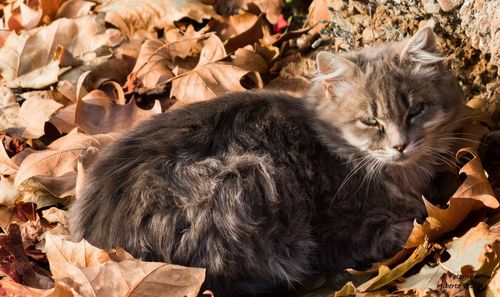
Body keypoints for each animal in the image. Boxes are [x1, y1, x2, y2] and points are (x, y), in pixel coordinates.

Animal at [69, 27, 464, 294]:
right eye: (370, 121)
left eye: (416, 110)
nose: (400, 145)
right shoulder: (344, 228)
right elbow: (411, 220)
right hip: (249, 175)